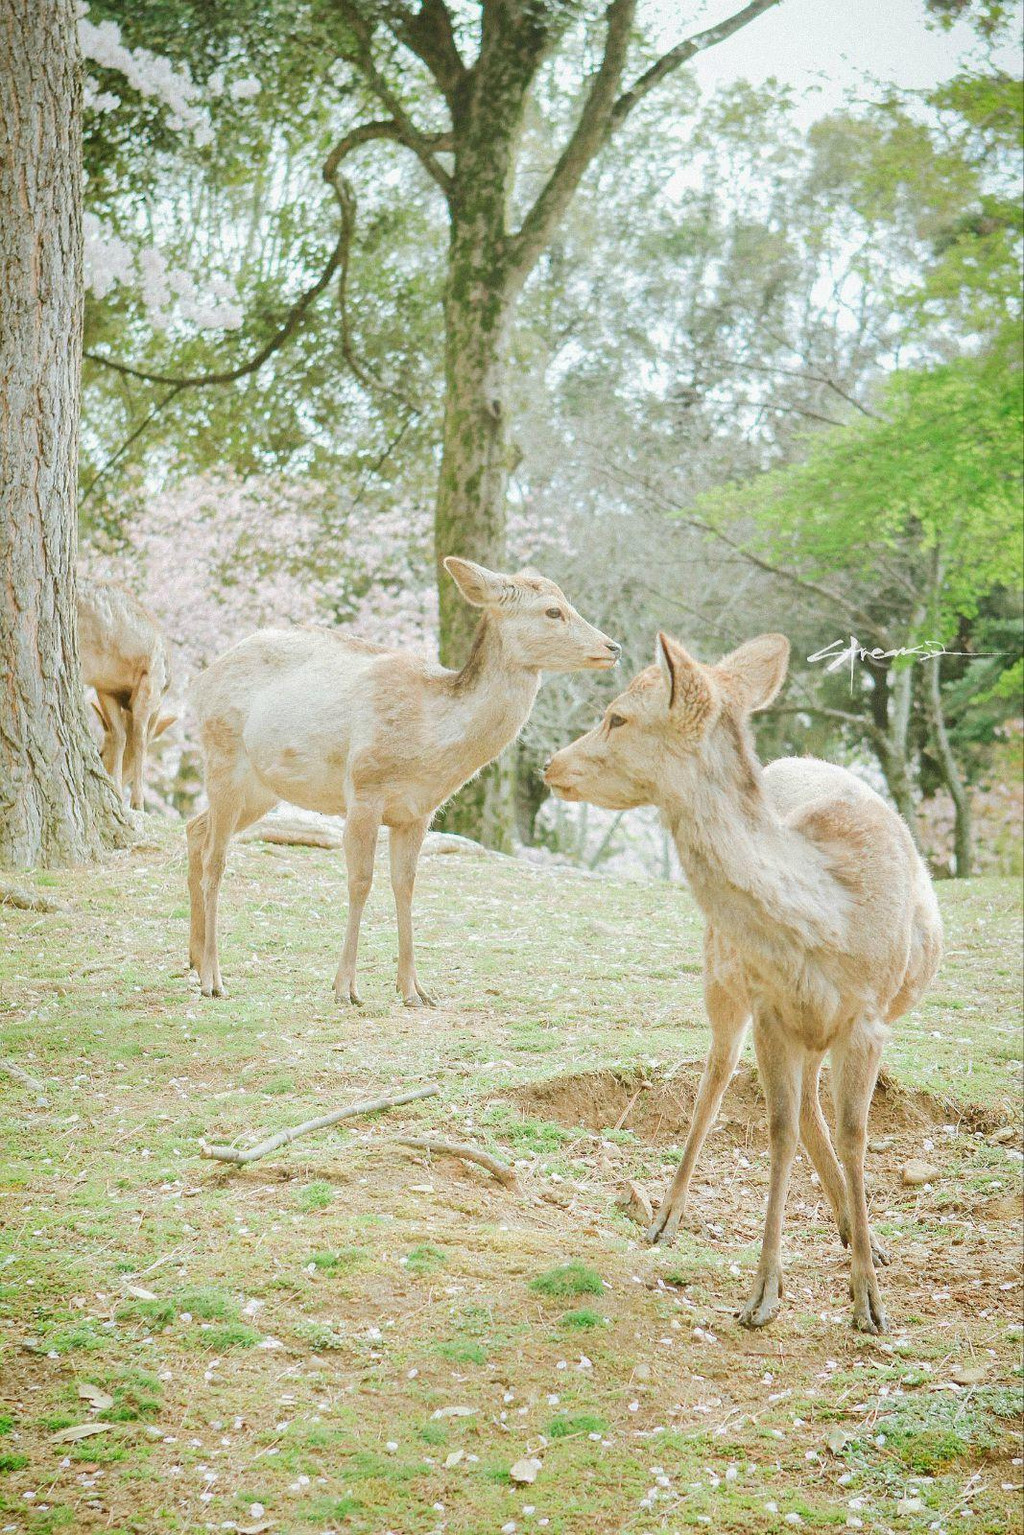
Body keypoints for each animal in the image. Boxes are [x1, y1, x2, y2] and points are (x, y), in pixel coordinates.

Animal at [78, 577, 176, 816]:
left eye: (100, 751)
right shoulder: (150, 683)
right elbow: (139, 740)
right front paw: (138, 803)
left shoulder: (106, 687)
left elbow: (121, 735)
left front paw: (118, 791)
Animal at [187, 561, 620, 1006]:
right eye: (553, 610)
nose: (612, 647)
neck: (430, 741)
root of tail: (200, 680)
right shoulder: (364, 788)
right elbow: (361, 882)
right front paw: (345, 987)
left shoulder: (418, 811)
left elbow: (405, 886)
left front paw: (414, 989)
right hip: (222, 755)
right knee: (216, 858)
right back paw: (213, 978)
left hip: (261, 788)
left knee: (195, 829)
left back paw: (194, 960)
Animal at [549, 632, 939, 1332]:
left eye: (617, 717)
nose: (549, 765)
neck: (829, 918)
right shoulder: (772, 1010)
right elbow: (777, 1131)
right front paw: (764, 1295)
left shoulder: (868, 1018)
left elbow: (856, 1135)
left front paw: (869, 1300)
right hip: (723, 977)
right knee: (719, 1074)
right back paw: (666, 1218)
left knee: (811, 1107)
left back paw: (862, 1237)